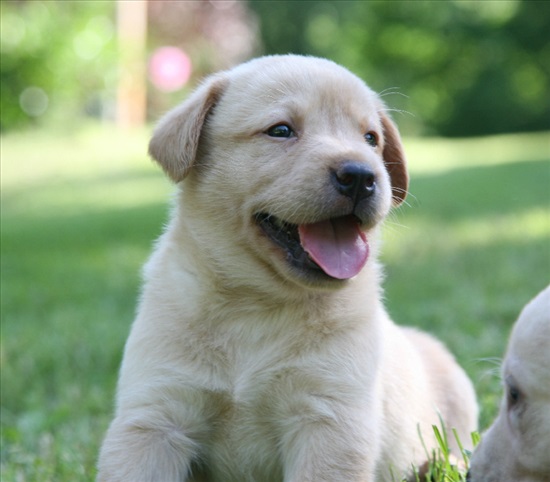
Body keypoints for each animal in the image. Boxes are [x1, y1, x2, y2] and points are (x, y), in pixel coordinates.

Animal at [98, 55, 478, 482]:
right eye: (280, 130)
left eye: (370, 139)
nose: (362, 176)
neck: (255, 305)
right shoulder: (154, 416)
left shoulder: (330, 421)